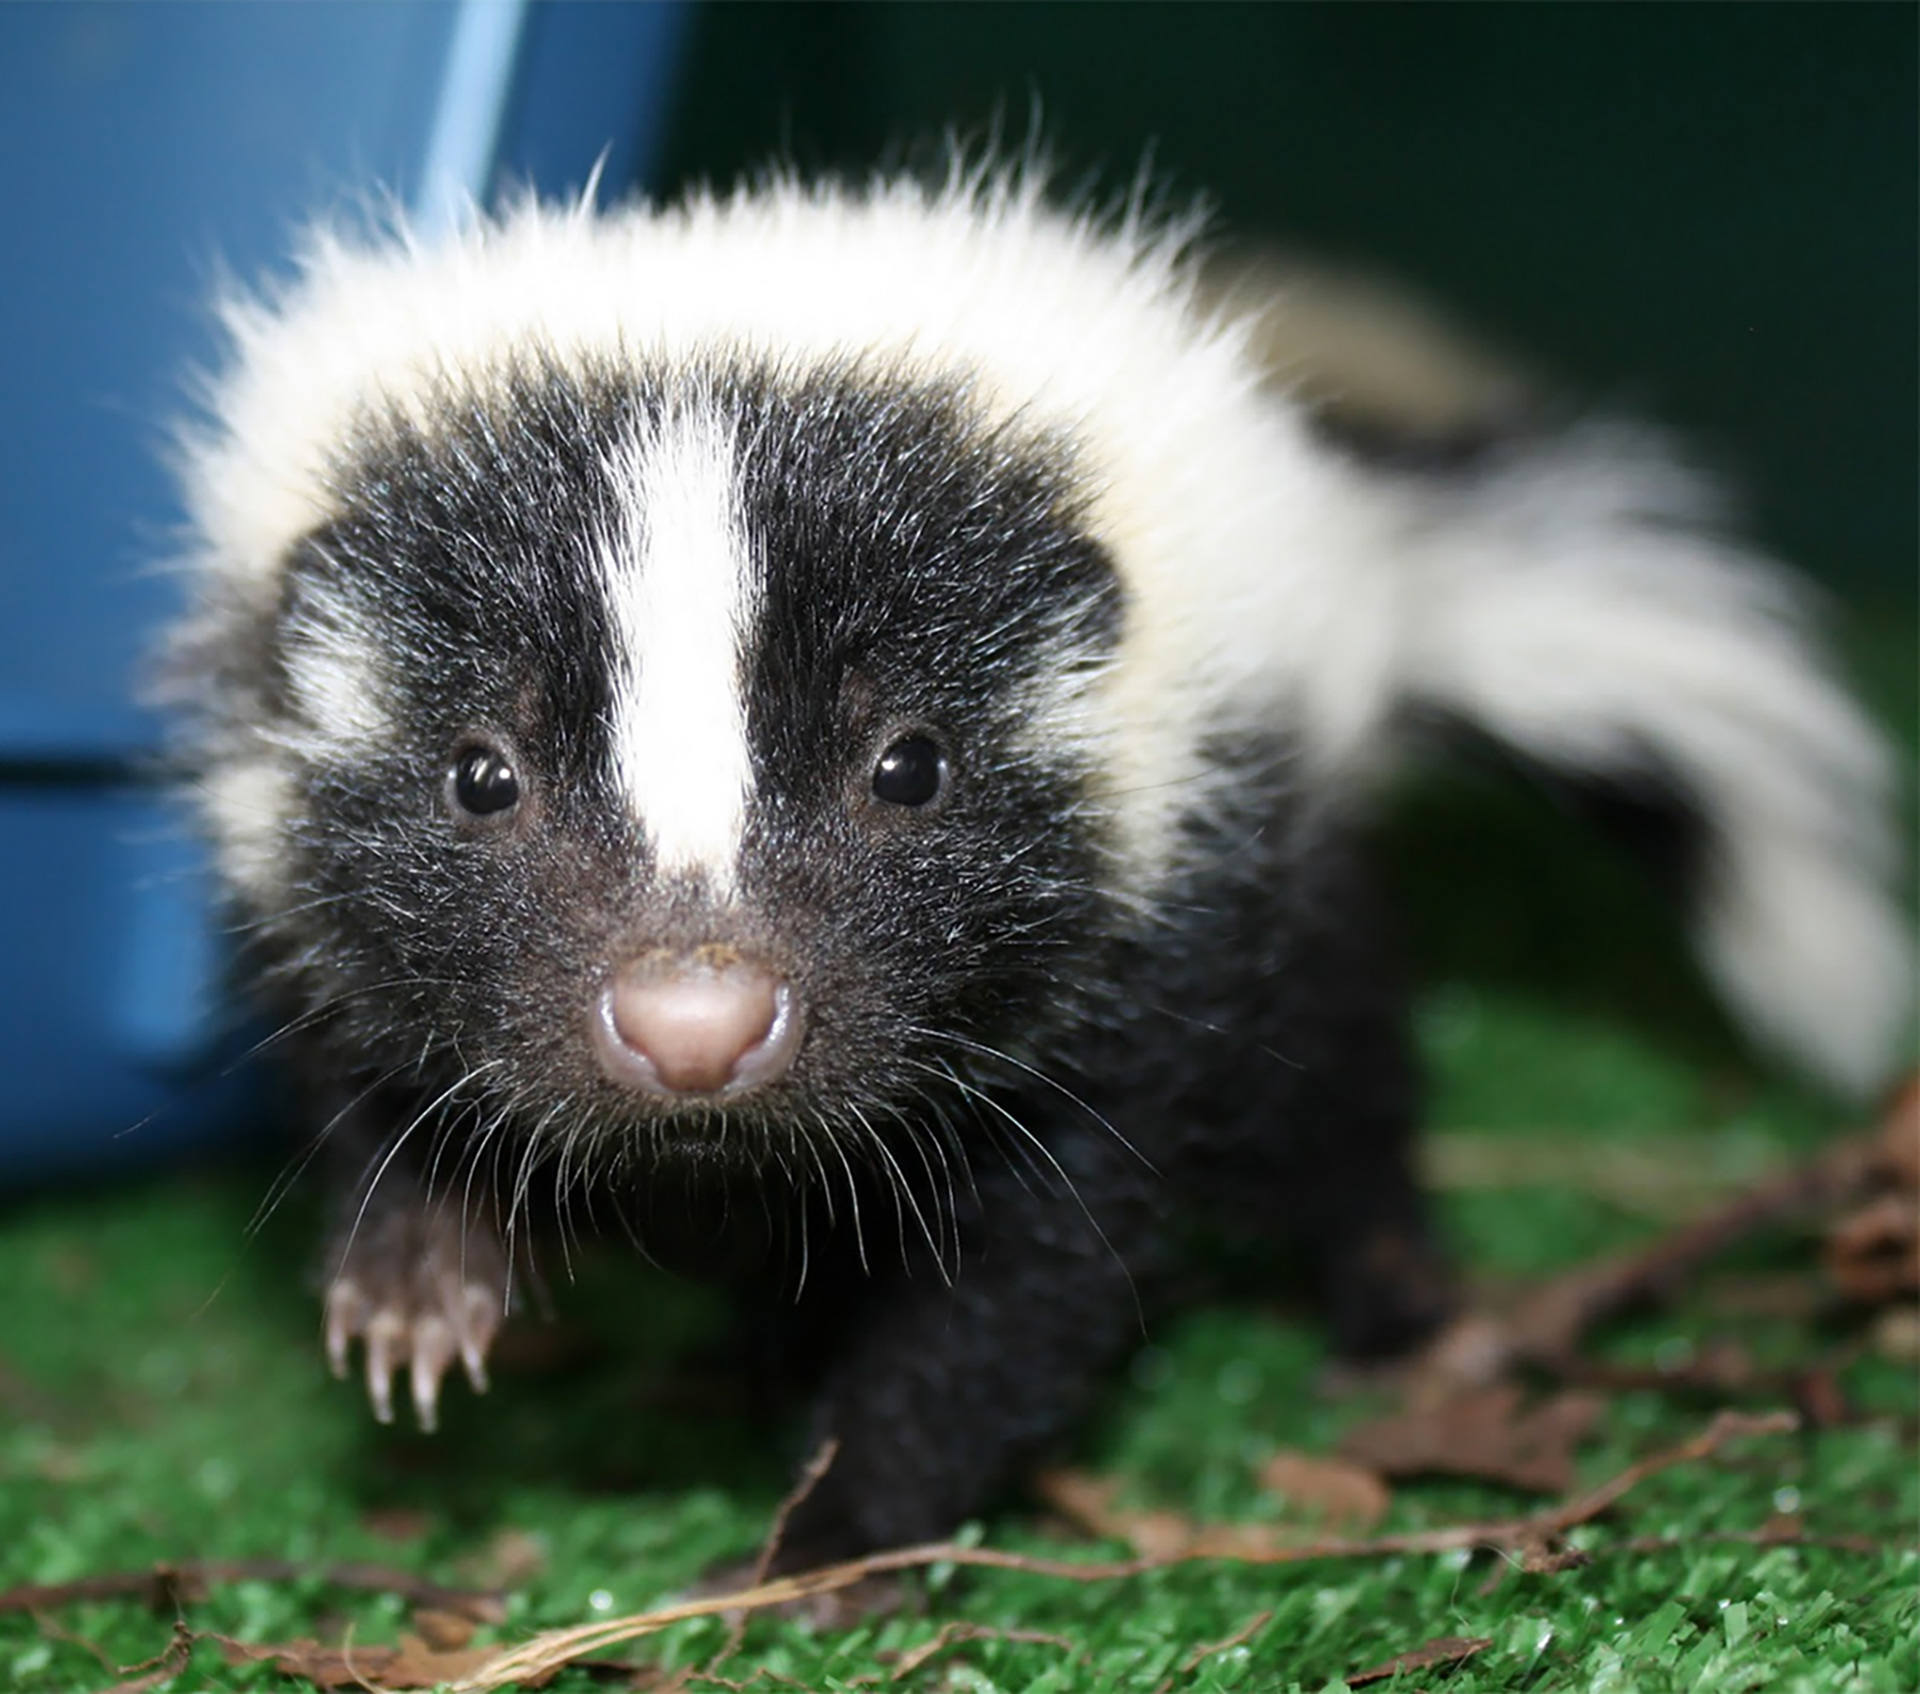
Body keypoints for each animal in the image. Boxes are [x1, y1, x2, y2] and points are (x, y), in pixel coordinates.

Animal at [165, 165, 1904, 1567]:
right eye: (481, 774)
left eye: (910, 766)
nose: (693, 1022)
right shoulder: (299, 896)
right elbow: (371, 1075)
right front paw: (417, 1288)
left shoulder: (1148, 948)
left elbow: (1027, 1268)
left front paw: (831, 1529)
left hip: (1285, 879)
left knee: (1343, 1091)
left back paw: (1399, 1304)